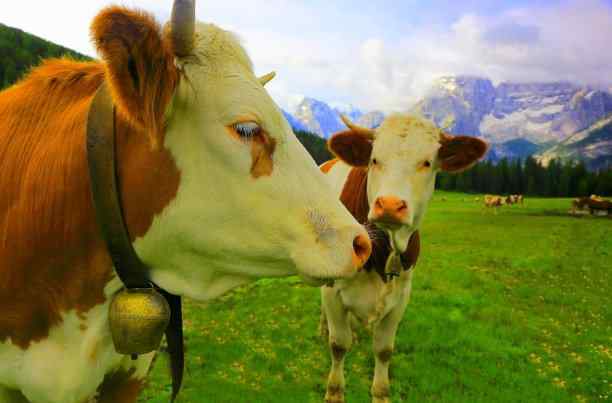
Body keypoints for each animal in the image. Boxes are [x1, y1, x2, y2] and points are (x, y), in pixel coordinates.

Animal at [318, 113, 486, 403]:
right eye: (374, 159)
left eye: (427, 162)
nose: (389, 205)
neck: (383, 247)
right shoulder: (332, 291)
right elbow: (338, 345)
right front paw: (335, 392)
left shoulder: (401, 296)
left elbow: (384, 350)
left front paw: (381, 394)